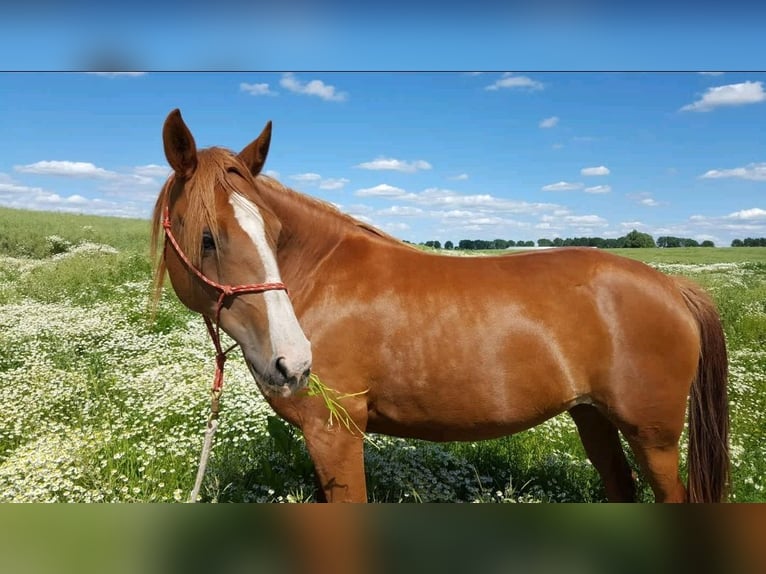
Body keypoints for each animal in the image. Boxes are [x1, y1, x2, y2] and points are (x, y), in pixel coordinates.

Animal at [152, 108, 732, 504]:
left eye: (273, 232)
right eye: (207, 238)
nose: (292, 362)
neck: (317, 277)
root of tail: (672, 287)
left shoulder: (335, 435)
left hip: (654, 438)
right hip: (593, 417)